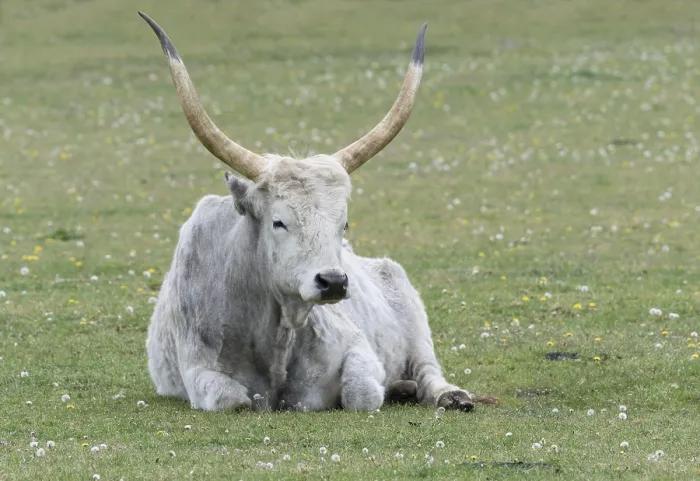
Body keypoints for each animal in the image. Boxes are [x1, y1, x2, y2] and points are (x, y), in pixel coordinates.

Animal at [139, 11, 477, 413]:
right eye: (278, 221)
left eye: (344, 224)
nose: (333, 282)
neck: (277, 332)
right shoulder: (198, 369)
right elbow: (231, 399)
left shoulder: (356, 345)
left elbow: (362, 393)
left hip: (413, 318)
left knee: (428, 370)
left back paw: (445, 394)